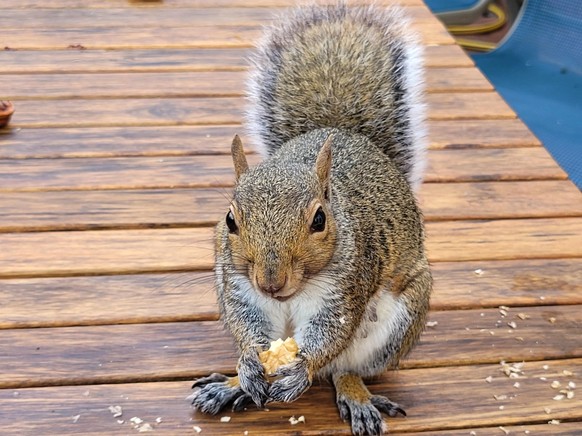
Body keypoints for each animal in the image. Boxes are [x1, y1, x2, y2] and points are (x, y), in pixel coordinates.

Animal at [192, 4, 434, 436]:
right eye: (230, 220)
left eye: (319, 220)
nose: (271, 283)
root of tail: (340, 130)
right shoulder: (238, 285)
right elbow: (247, 324)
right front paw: (249, 365)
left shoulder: (348, 285)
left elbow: (330, 333)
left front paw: (301, 367)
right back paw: (232, 386)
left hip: (397, 323)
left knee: (345, 368)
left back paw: (355, 395)